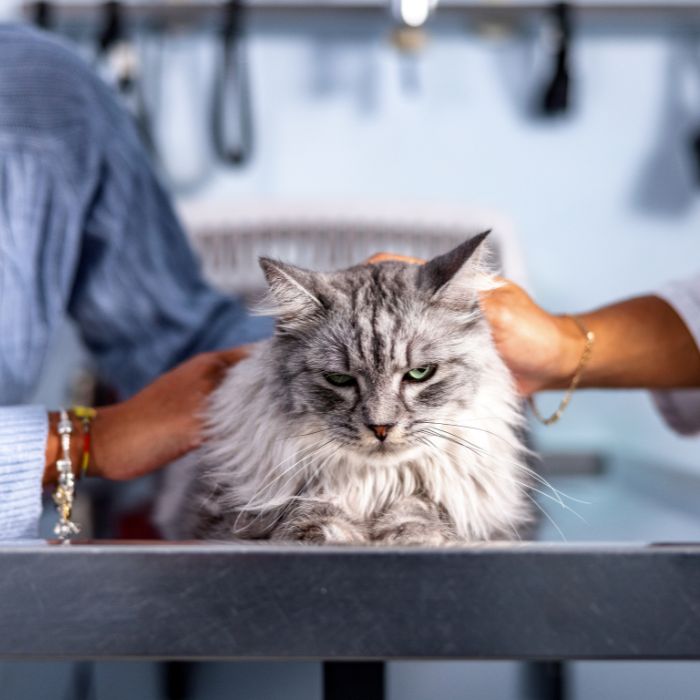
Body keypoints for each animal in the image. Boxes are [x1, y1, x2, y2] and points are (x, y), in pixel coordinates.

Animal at [157, 232, 532, 544]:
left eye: (419, 373)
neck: (374, 485)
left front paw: (410, 535)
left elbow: (421, 508)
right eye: (339, 380)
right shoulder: (223, 518)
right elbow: (309, 510)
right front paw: (327, 534)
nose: (381, 428)